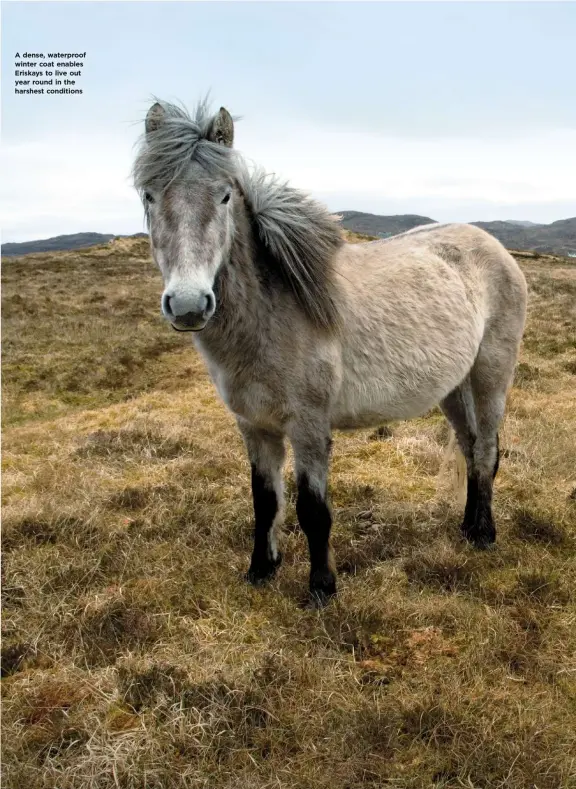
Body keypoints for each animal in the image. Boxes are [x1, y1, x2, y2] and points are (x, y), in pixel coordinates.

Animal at [133, 98, 528, 604]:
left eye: (224, 196)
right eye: (149, 195)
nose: (187, 305)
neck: (273, 313)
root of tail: (493, 246)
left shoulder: (308, 426)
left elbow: (312, 510)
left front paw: (321, 588)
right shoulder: (254, 427)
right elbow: (265, 502)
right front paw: (261, 569)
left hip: (490, 375)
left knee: (489, 451)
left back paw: (484, 535)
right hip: (453, 388)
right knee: (471, 446)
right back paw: (465, 527)